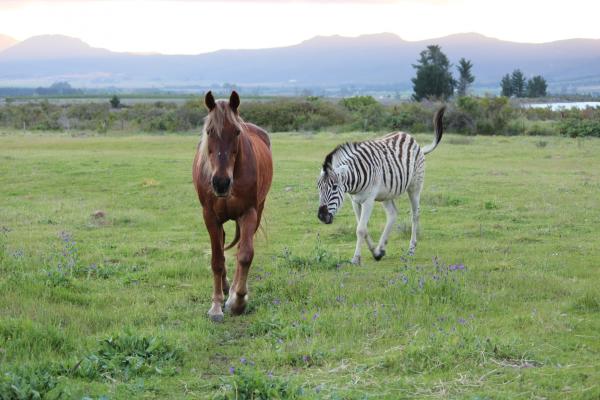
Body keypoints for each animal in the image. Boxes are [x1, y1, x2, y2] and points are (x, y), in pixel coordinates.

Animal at [192, 91, 272, 322]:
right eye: (209, 131)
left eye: (237, 131)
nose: (221, 182)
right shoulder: (209, 216)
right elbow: (217, 260)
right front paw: (216, 305)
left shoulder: (249, 213)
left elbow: (244, 255)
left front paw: (238, 301)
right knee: (221, 243)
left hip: (256, 211)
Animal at [318, 106, 446, 264]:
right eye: (318, 188)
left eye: (335, 187)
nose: (321, 216)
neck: (355, 179)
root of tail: (412, 139)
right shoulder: (355, 201)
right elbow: (363, 228)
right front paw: (375, 252)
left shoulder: (368, 200)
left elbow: (360, 229)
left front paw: (356, 258)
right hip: (387, 193)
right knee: (392, 214)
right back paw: (381, 248)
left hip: (415, 187)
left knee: (415, 215)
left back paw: (411, 249)